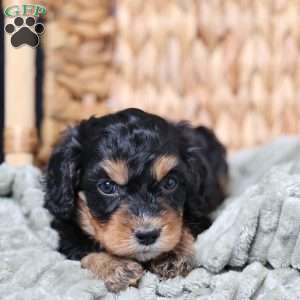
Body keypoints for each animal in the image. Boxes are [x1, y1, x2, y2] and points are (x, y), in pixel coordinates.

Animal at [44, 108, 227, 292]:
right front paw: (115, 267)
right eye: (107, 186)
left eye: (170, 183)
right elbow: (81, 248)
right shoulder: (64, 230)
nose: (148, 235)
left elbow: (186, 226)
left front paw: (172, 254)